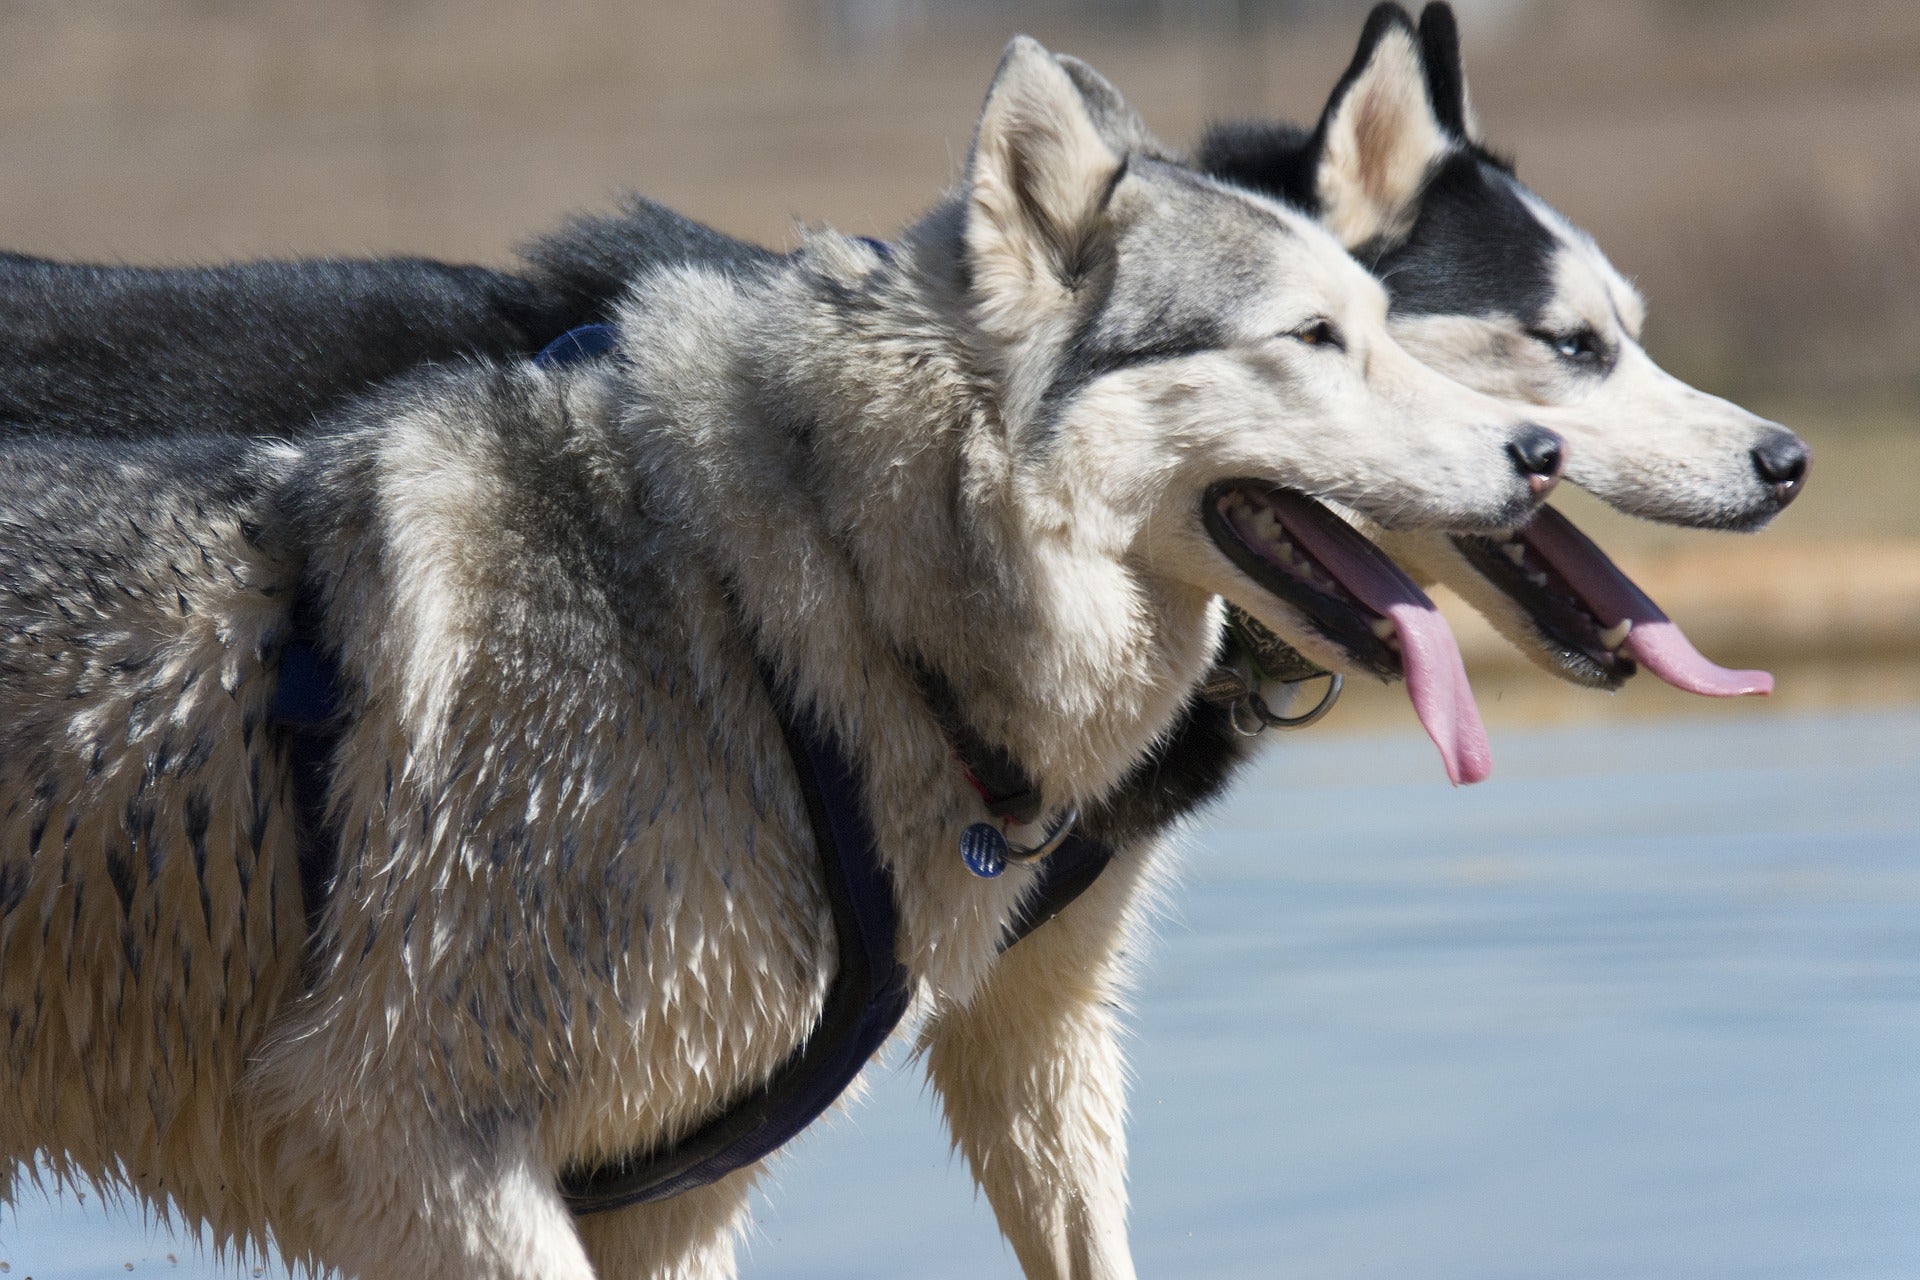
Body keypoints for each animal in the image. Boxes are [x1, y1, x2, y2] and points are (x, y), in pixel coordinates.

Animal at [3, 40, 1559, 1280]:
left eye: (1383, 323)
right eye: (1314, 336)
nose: (1538, 455)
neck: (788, 615)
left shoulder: (680, 1196)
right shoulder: (415, 1145)